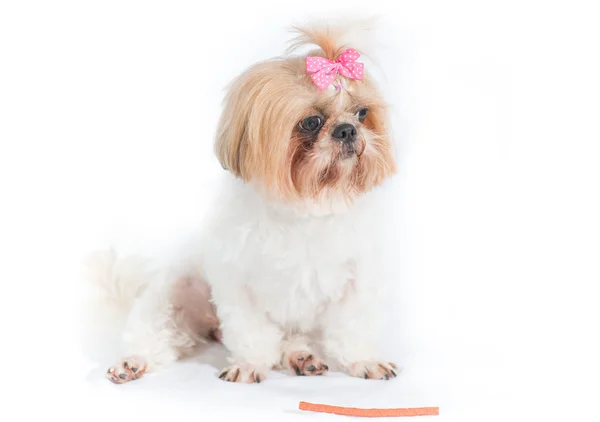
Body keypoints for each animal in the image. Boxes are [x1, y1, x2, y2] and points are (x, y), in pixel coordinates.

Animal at [86, 23, 398, 386]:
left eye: (362, 113)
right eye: (311, 122)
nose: (348, 130)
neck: (304, 210)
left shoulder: (356, 284)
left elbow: (353, 328)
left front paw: (364, 360)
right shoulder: (238, 286)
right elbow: (253, 333)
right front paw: (249, 365)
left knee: (293, 339)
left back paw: (301, 357)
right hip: (174, 293)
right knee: (155, 331)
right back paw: (133, 361)